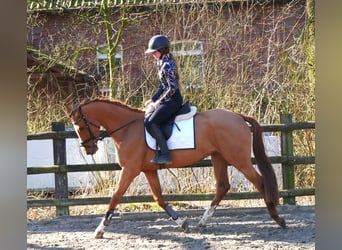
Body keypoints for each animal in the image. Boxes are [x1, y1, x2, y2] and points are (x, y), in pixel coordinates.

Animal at [69, 97, 286, 238]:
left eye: (80, 127)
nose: (89, 149)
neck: (127, 128)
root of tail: (238, 117)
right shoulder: (148, 170)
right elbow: (159, 198)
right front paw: (182, 223)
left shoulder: (130, 170)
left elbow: (115, 196)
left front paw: (100, 230)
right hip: (219, 157)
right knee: (223, 186)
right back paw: (202, 222)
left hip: (238, 158)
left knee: (260, 182)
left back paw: (277, 218)